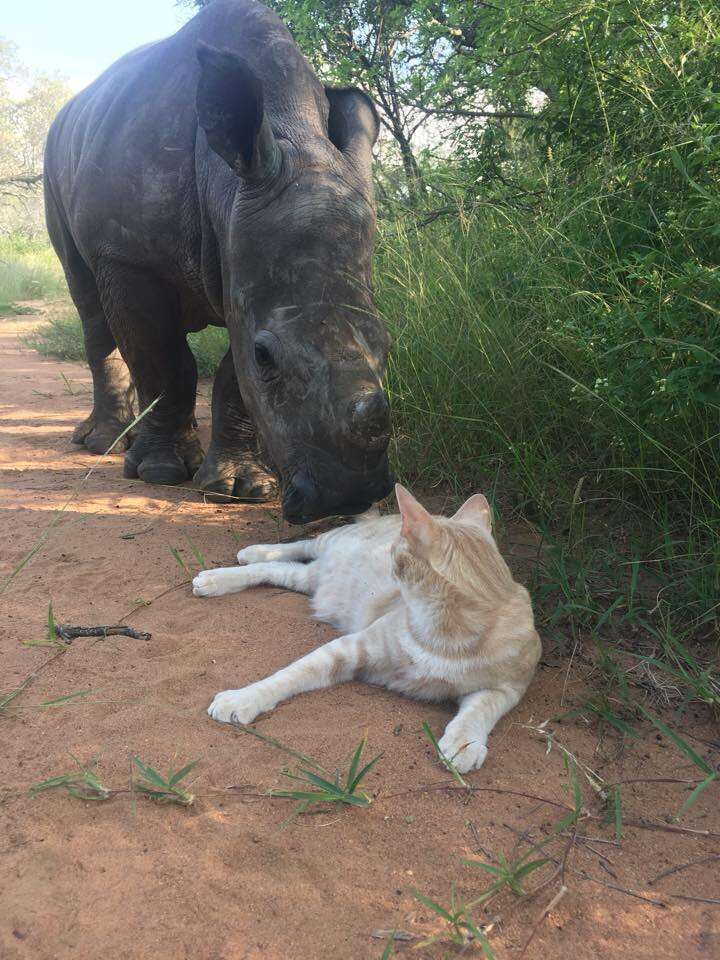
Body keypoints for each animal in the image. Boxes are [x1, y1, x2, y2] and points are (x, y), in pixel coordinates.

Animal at [43, 0, 394, 520]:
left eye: (387, 342)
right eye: (266, 356)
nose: (349, 495)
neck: (225, 185)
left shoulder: (243, 262)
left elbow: (232, 376)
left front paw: (239, 487)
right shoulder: (128, 255)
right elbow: (163, 359)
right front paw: (159, 472)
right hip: (56, 163)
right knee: (88, 301)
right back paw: (105, 443)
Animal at [191, 488, 540, 772]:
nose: (387, 554)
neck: (447, 634)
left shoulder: (508, 687)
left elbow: (479, 711)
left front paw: (464, 742)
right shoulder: (344, 650)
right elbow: (286, 676)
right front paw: (242, 698)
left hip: (308, 579)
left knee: (277, 569)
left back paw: (227, 573)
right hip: (330, 543)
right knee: (301, 544)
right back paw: (237, 562)